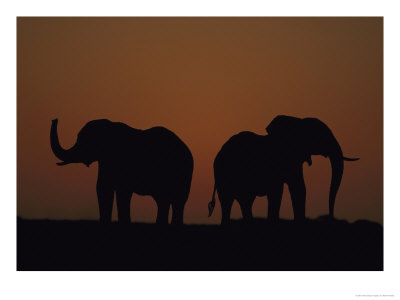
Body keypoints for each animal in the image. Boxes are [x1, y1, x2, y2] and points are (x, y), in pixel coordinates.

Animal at [50, 118, 194, 224]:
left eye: (86, 141)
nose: (54, 119)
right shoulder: (105, 162)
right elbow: (103, 189)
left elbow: (122, 192)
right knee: (163, 201)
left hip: (183, 173)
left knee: (177, 201)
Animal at [208, 116, 358, 224]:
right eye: (321, 136)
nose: (331, 216)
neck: (298, 122)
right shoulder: (284, 159)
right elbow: (291, 189)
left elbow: (297, 189)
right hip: (223, 174)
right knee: (230, 202)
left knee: (242, 202)